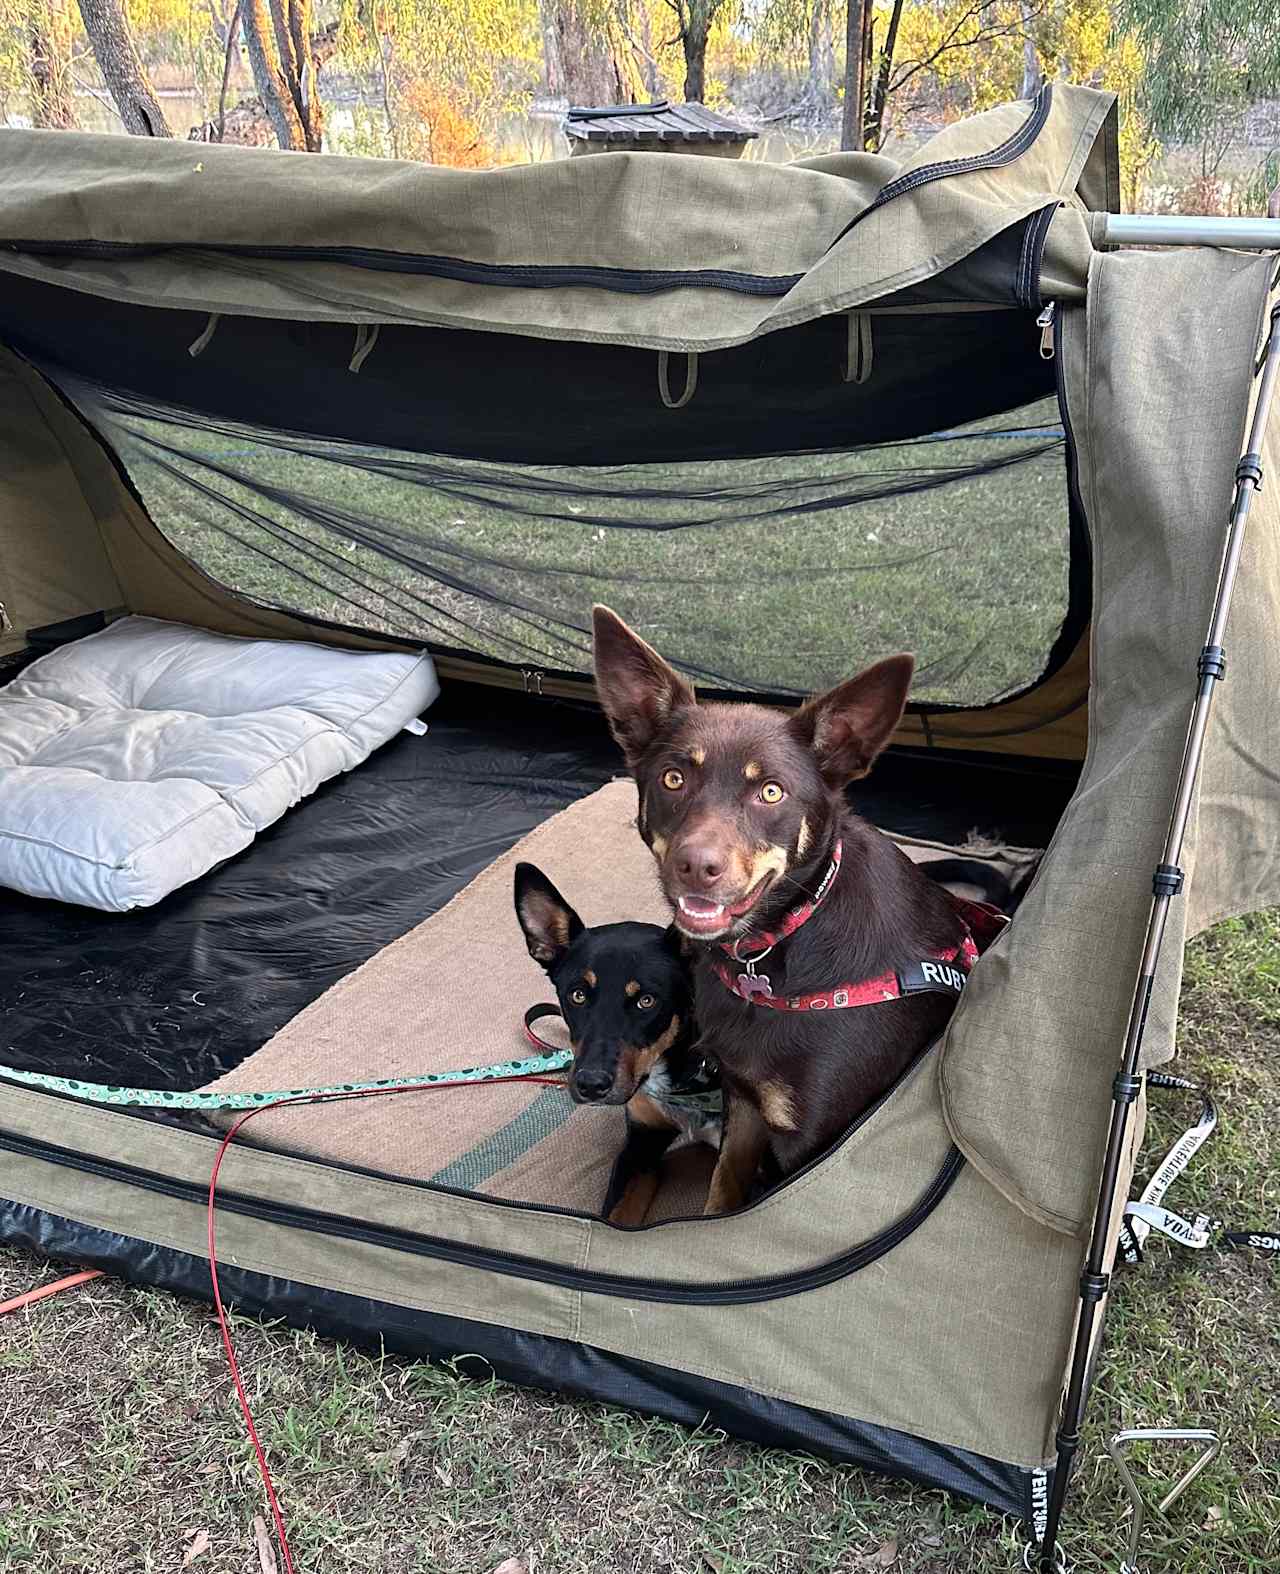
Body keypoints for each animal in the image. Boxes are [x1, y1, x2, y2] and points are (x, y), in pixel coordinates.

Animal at [591, 604, 1001, 1215]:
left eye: (771, 792)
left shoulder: (815, 1143)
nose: (696, 866)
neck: (770, 954)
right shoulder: (742, 1100)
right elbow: (723, 1190)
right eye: (673, 778)